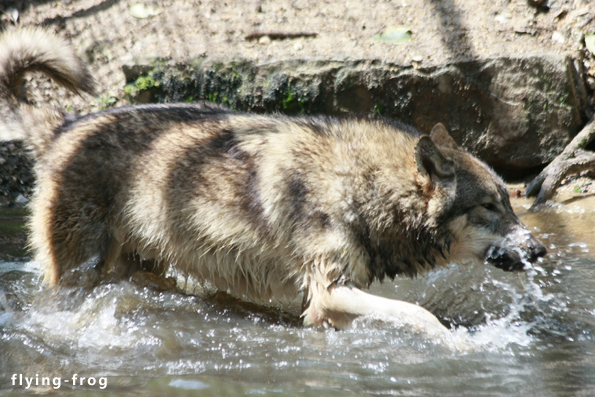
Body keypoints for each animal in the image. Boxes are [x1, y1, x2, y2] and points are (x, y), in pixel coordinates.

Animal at [0, 27, 548, 338]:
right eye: (489, 208)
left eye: (510, 201)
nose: (540, 250)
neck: (360, 186)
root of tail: (64, 126)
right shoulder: (329, 291)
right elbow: (422, 317)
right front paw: (460, 348)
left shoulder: (325, 304)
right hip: (79, 272)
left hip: (145, 265)